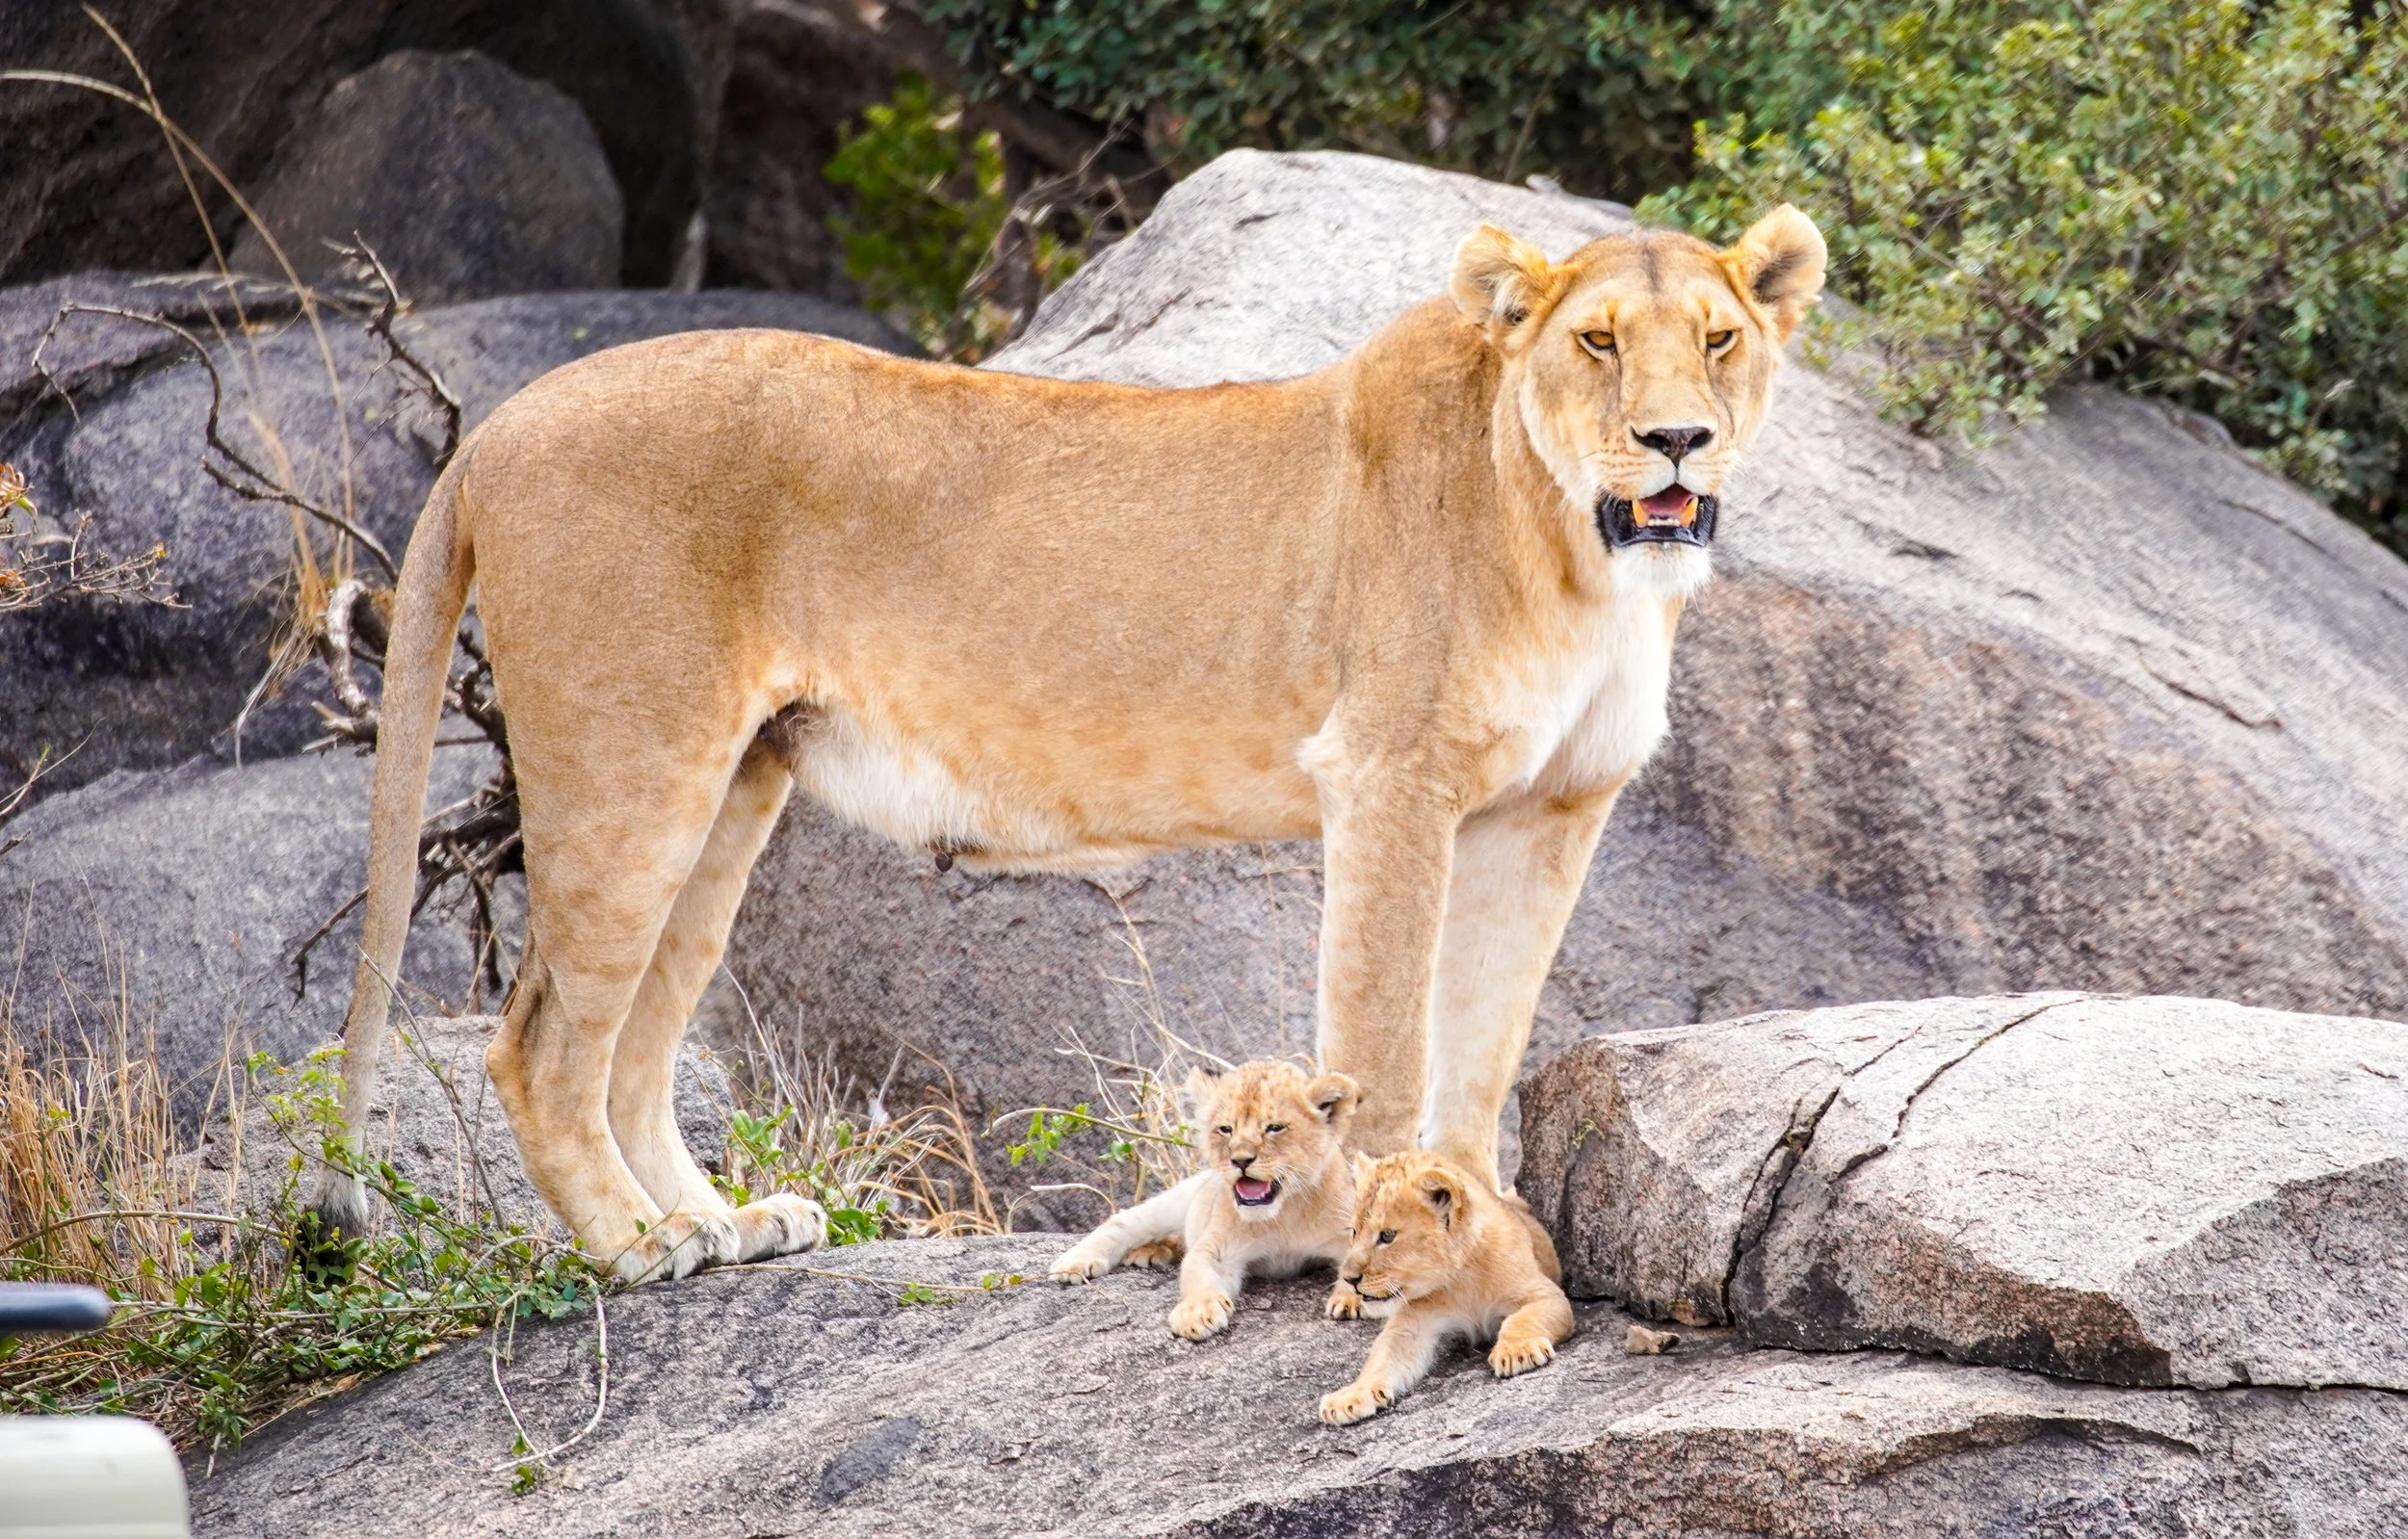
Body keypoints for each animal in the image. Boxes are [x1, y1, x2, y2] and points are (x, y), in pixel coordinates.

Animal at [305, 201, 1826, 1281]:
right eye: (1596, 343)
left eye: (1718, 339)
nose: (1676, 439)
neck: (1580, 554)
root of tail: (503, 421)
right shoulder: (1389, 777)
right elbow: (1384, 1044)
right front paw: (1370, 1234)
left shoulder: (1547, 809)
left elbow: (1482, 1046)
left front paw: (1469, 1218)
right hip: (631, 761)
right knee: (542, 1044)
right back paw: (638, 1246)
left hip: (735, 778)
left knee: (637, 1038)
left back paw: (727, 1223)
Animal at [1049, 1061, 1362, 1337]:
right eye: (1226, 1129)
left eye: (1274, 1128)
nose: (1240, 1160)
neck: (1282, 1214)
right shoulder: (1217, 1249)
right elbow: (1197, 1274)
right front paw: (1196, 1314)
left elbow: (1360, 1266)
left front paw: (1350, 1301)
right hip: (1177, 1200)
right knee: (1124, 1221)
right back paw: (1076, 1262)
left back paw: (1152, 1252)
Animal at [1319, 1150, 1573, 1425]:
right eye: (1354, 1231)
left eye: (1387, 1236)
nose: (1349, 1278)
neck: (1462, 1278)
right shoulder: (1413, 1323)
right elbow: (1382, 1356)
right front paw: (1352, 1395)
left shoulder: (1547, 1295)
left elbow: (1521, 1320)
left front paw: (1518, 1351)